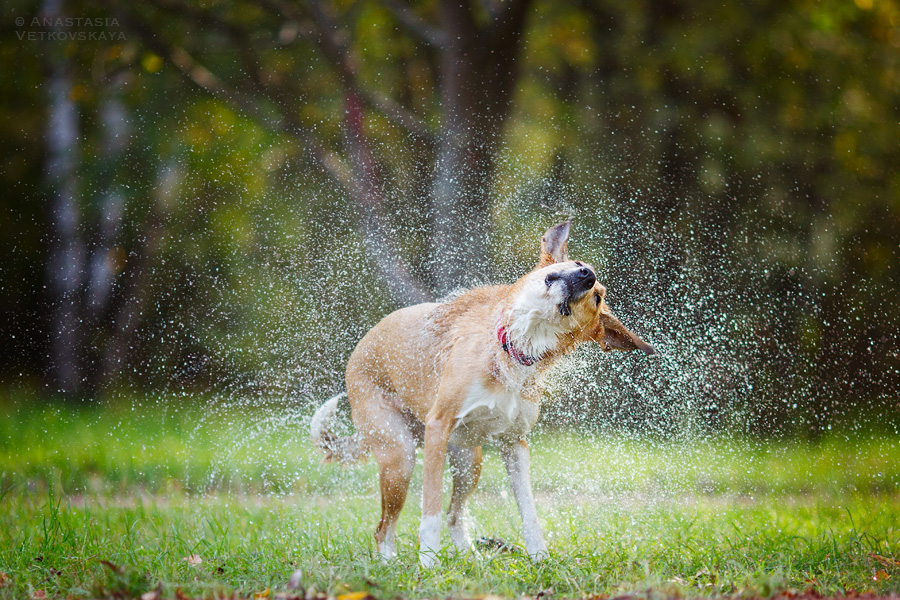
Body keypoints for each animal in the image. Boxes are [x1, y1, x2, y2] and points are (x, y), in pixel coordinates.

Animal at [312, 221, 652, 568]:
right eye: (576, 263)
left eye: (596, 298)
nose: (587, 274)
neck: (514, 349)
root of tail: (358, 352)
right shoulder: (439, 425)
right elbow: (430, 511)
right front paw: (428, 564)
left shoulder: (515, 444)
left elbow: (528, 511)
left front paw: (540, 558)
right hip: (401, 456)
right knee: (385, 527)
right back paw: (390, 563)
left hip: (467, 462)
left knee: (454, 514)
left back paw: (469, 558)